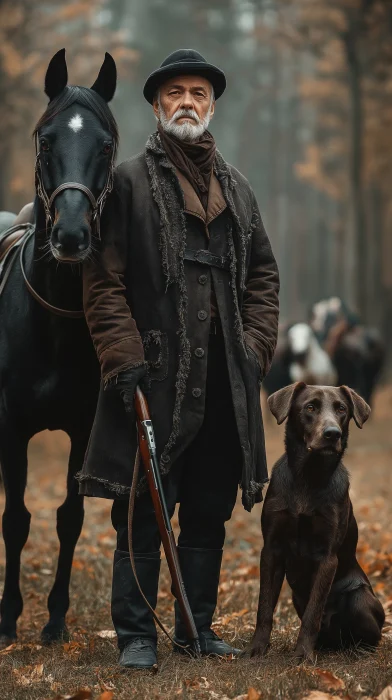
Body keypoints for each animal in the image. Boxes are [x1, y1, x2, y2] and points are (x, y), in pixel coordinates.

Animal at [250, 382, 384, 660]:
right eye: (310, 407)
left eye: (342, 409)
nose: (332, 434)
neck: (308, 475)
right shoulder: (271, 549)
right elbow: (264, 606)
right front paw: (257, 648)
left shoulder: (327, 556)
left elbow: (314, 611)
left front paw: (302, 654)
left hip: (360, 597)